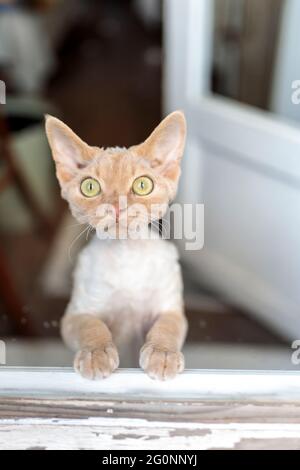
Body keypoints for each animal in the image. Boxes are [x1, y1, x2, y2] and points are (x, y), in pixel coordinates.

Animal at [45, 112, 186, 380]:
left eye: (142, 185)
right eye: (90, 187)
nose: (117, 207)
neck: (126, 254)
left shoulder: (171, 307)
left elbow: (167, 326)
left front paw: (162, 353)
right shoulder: (74, 315)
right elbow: (90, 324)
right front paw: (96, 353)